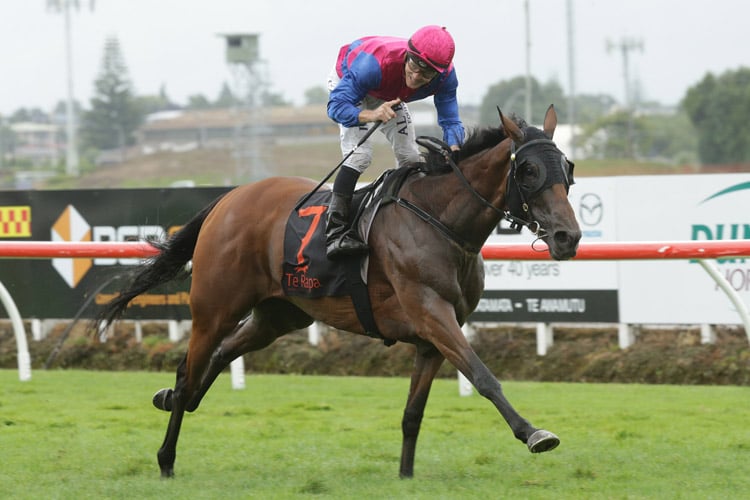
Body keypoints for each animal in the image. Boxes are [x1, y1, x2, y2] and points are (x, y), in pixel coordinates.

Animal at [98, 104, 580, 476]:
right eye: (529, 170)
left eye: (568, 169)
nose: (567, 237)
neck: (439, 220)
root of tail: (228, 199)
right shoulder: (431, 313)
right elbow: (484, 376)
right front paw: (534, 433)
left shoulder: (433, 337)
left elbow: (413, 413)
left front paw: (406, 476)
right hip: (214, 307)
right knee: (187, 371)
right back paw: (166, 456)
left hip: (278, 315)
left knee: (218, 356)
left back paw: (174, 400)